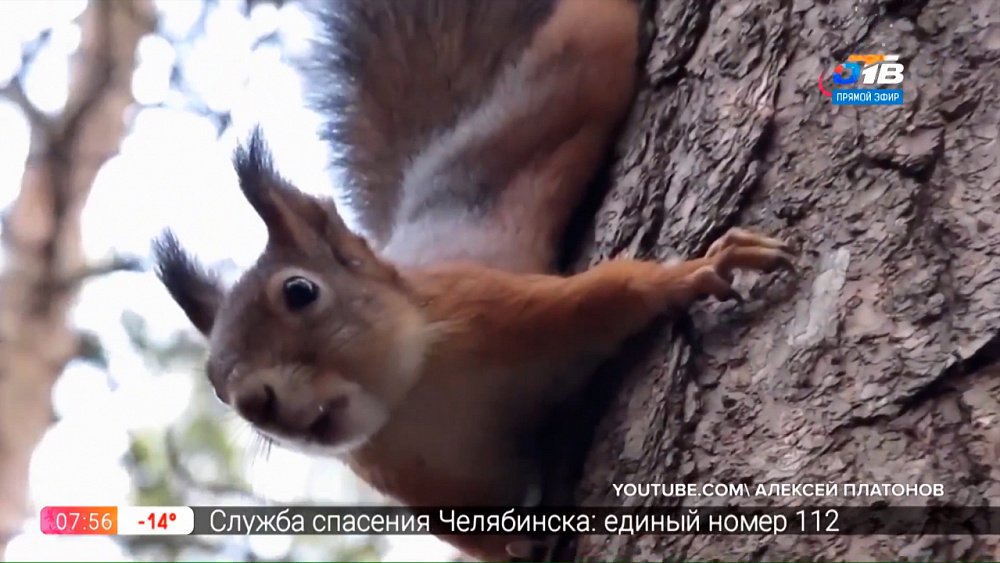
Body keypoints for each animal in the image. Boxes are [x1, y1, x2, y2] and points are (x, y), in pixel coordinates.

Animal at [152, 0, 795, 560]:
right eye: (216, 385)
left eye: (299, 292)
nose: (254, 402)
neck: (417, 393)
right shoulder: (421, 483)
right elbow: (477, 532)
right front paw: (517, 547)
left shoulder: (495, 305)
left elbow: (615, 290)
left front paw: (699, 270)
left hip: (562, 76)